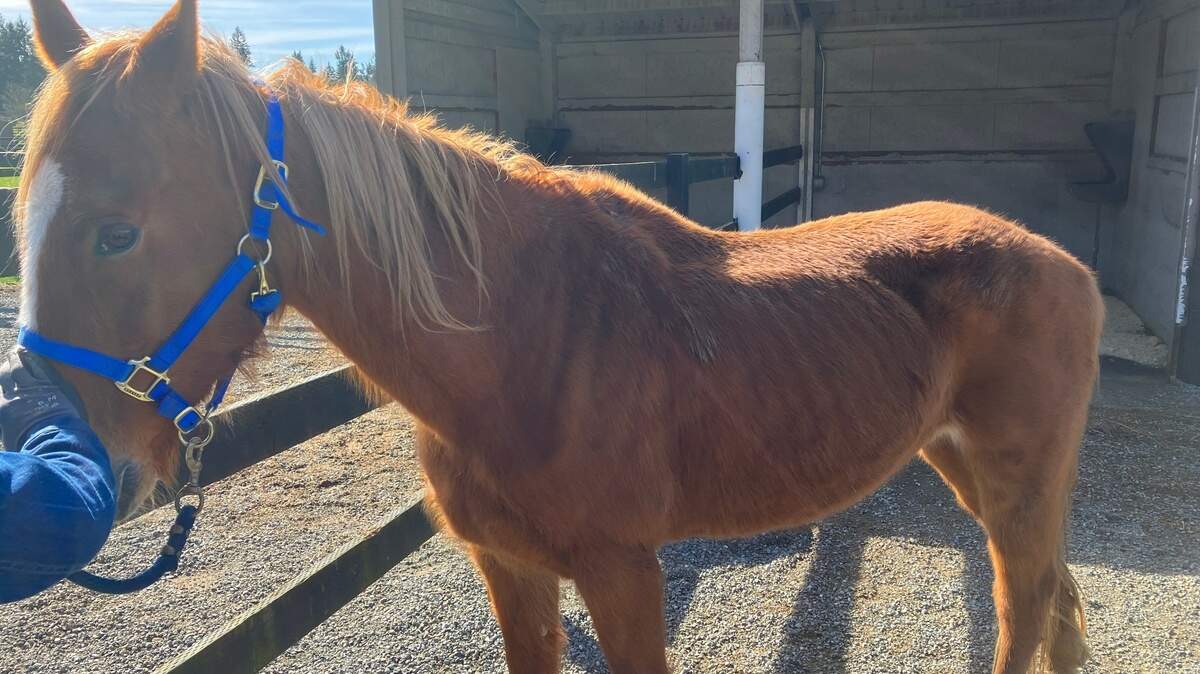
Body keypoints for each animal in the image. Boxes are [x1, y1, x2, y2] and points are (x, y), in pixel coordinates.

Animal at [18, 2, 1099, 672]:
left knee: (1022, 607)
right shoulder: (513, 570)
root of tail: (1063, 263)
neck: (523, 344)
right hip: (965, 464)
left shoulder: (622, 572)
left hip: (1015, 480)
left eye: (116, 231)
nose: (86, 463)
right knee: (1053, 595)